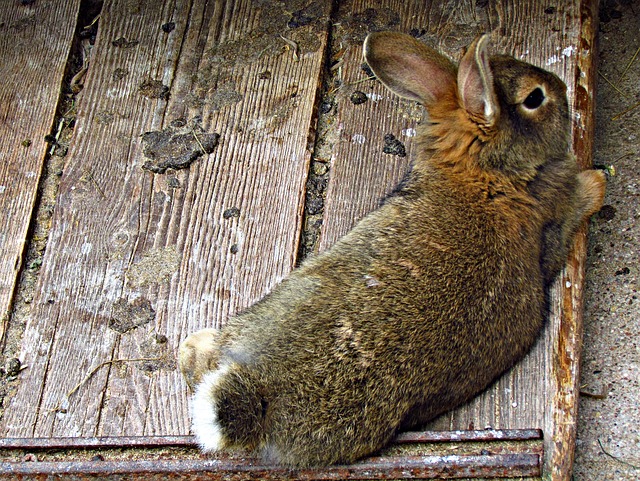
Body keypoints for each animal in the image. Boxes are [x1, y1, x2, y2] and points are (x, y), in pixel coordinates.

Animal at [176, 31, 604, 464]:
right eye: (535, 98)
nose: (562, 88)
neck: (483, 170)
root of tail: (260, 395)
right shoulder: (555, 217)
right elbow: (575, 206)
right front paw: (598, 182)